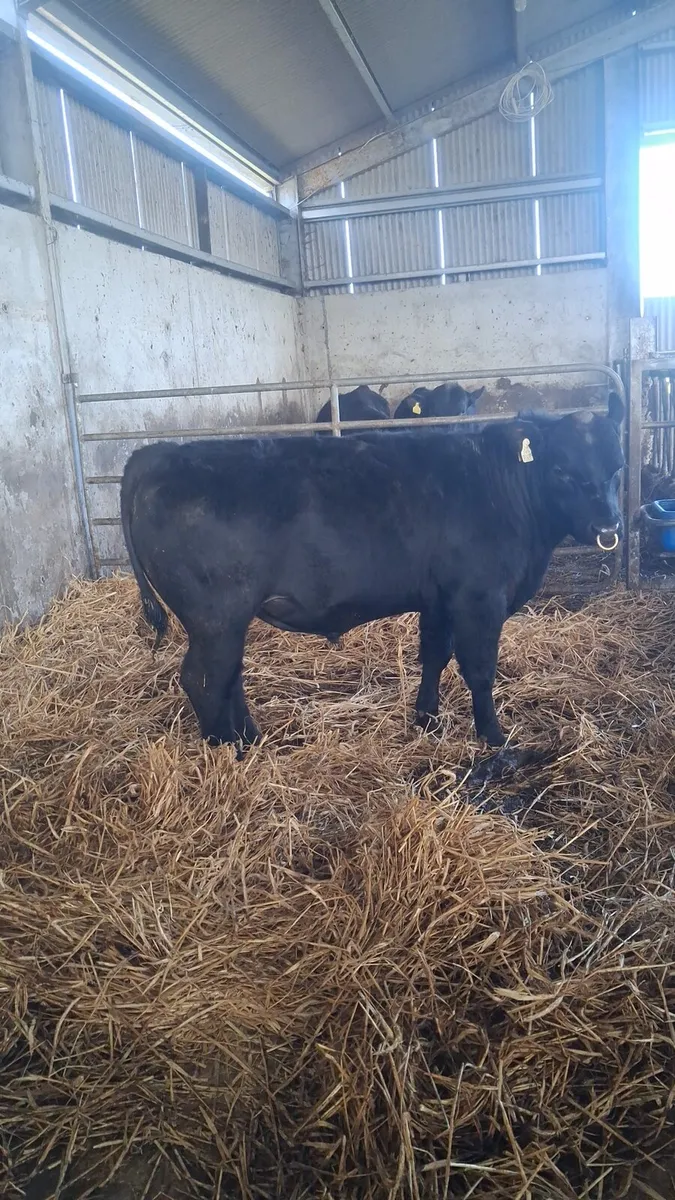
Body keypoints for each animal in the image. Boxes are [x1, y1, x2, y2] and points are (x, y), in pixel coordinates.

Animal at [120, 393, 624, 750]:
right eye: (561, 470)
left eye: (616, 469)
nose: (608, 526)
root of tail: (158, 454)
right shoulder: (479, 598)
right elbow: (479, 669)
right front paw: (494, 737)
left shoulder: (440, 598)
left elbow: (434, 655)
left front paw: (426, 719)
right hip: (215, 615)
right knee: (203, 680)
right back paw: (227, 751)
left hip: (226, 620)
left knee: (228, 675)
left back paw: (250, 738)